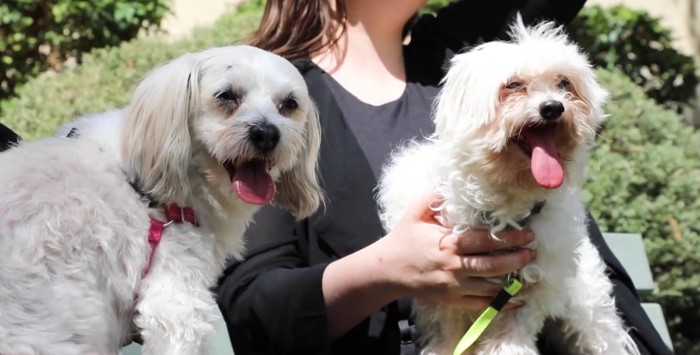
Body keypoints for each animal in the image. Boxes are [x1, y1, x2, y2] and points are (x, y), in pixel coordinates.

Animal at [380, 18, 644, 355]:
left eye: (564, 84)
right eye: (514, 85)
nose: (553, 107)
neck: (509, 200)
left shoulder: (532, 286)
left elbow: (512, 333)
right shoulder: (439, 296)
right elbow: (445, 331)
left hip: (589, 311)